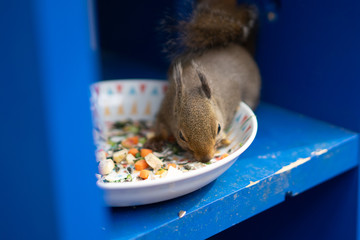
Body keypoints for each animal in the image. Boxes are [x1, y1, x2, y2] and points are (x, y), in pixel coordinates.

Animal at [145, 0, 260, 162]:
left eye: (219, 128)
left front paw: (223, 140)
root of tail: (237, 47)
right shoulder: (166, 108)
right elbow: (160, 124)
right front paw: (156, 140)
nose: (206, 158)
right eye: (181, 136)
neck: (192, 86)